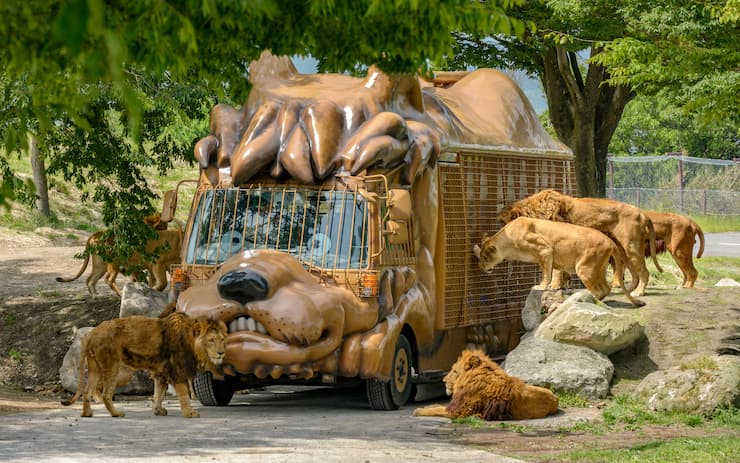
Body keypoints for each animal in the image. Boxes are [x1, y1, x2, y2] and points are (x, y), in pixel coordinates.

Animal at [61, 314, 225, 418]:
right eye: (211, 340)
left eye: (222, 339)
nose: (222, 353)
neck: (191, 342)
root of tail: (92, 333)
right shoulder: (176, 371)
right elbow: (184, 394)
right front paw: (189, 413)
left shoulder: (161, 372)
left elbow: (159, 393)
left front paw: (158, 410)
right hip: (115, 369)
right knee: (106, 394)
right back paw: (116, 414)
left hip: (95, 368)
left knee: (86, 392)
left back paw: (87, 414)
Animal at [414, 350, 556, 422]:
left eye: (454, 371)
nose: (443, 380)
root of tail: (555, 398)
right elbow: (438, 406)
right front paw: (429, 405)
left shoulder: (459, 411)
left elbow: (437, 410)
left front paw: (419, 410)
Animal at [500, 189, 660, 296]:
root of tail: (642, 213)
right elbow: (561, 269)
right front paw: (562, 286)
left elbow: (556, 270)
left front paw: (553, 286)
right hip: (622, 249)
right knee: (634, 273)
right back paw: (625, 290)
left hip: (631, 246)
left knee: (644, 272)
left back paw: (638, 292)